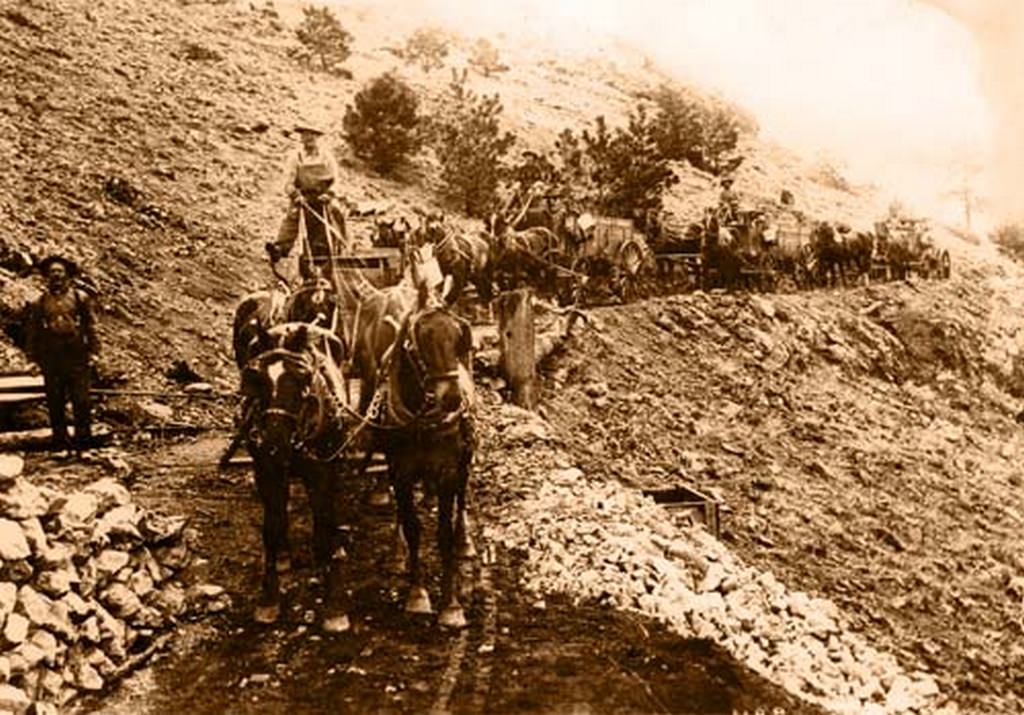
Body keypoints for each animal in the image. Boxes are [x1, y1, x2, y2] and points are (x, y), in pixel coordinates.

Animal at [238, 321, 352, 631]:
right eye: (257, 379)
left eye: (302, 378)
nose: (275, 442)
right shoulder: (267, 470)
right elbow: (271, 527)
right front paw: (268, 599)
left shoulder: (321, 471)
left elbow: (323, 526)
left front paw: (334, 604)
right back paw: (285, 554)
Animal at [372, 286, 475, 626]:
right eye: (423, 338)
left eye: (458, 337)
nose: (453, 398)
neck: (422, 422)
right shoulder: (400, 472)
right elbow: (413, 528)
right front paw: (417, 594)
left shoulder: (447, 473)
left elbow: (444, 535)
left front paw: (451, 604)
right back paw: (397, 550)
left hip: (464, 462)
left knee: (461, 498)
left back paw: (465, 540)